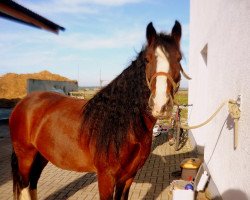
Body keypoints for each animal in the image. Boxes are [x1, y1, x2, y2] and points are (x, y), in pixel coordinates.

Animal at [9, 20, 189, 200]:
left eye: (179, 59)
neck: (121, 125)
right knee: (25, 185)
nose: (161, 104)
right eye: (147, 59)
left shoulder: (128, 177)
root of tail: (23, 102)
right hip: (26, 156)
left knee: (33, 183)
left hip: (41, 155)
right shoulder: (106, 177)